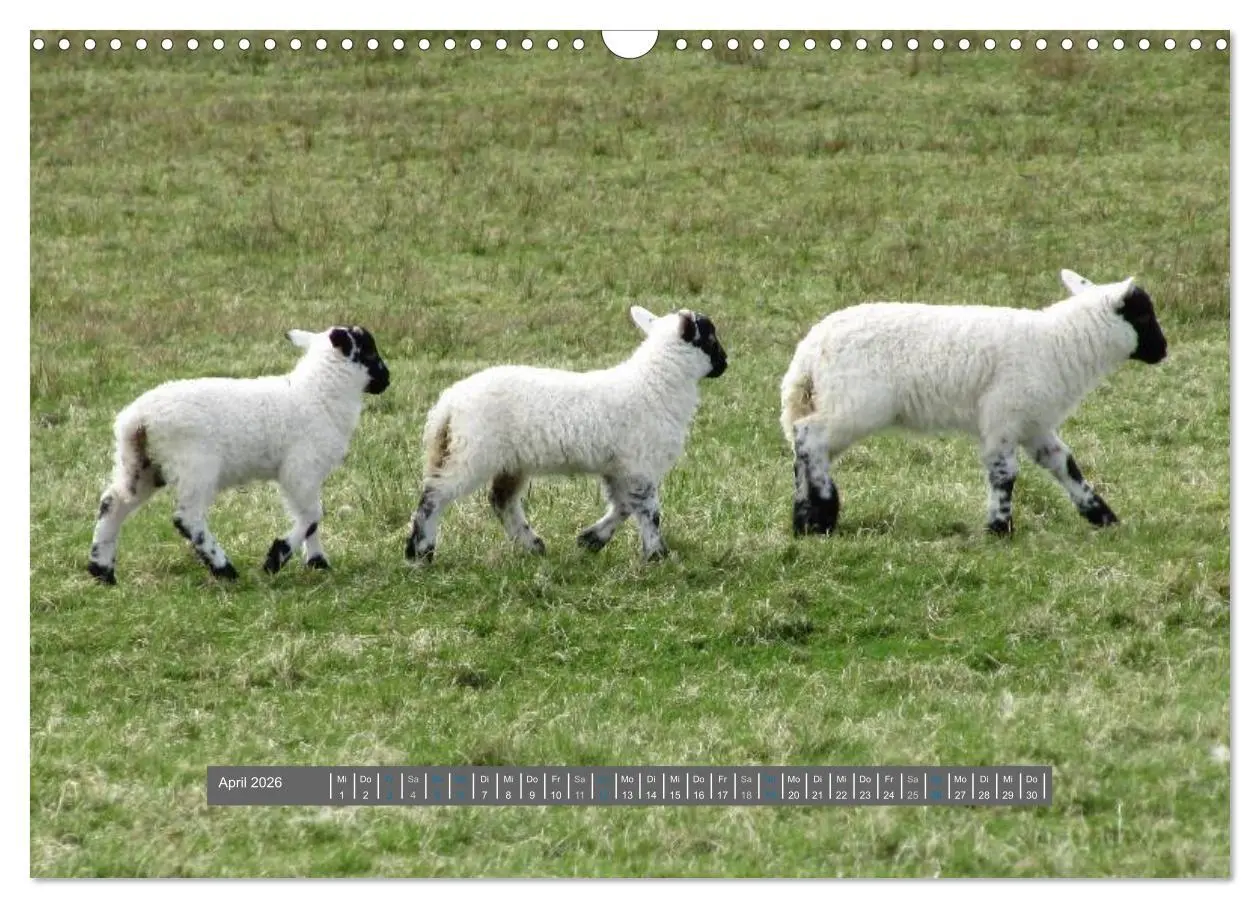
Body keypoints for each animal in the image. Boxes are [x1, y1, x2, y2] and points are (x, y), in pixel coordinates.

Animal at [86, 325, 391, 584]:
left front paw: (317, 563)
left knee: (113, 502)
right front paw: (276, 558)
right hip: (195, 465)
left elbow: (309, 517)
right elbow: (312, 514)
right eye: (370, 352)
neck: (318, 393)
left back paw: (101, 570)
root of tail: (136, 419)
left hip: (142, 465)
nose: (387, 380)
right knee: (187, 518)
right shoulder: (300, 468)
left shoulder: (305, 474)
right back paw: (224, 569)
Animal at [404, 306, 727, 564]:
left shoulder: (619, 466)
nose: (725, 364)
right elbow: (649, 511)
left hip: (507, 460)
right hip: (473, 452)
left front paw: (591, 539)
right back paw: (420, 552)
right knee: (435, 496)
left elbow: (623, 506)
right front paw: (657, 555)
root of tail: (448, 403)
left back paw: (532, 545)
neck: (655, 384)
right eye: (711, 338)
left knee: (501, 500)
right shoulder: (639, 465)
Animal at [780, 270, 1168, 536]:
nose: (1163, 351)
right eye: (1143, 315)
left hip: (835, 402)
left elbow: (1065, 465)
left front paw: (1103, 516)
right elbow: (1004, 473)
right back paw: (824, 509)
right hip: (855, 404)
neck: (1060, 343)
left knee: (804, 447)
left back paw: (806, 519)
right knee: (809, 437)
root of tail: (810, 350)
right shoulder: (1004, 416)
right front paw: (999, 528)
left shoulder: (1034, 424)